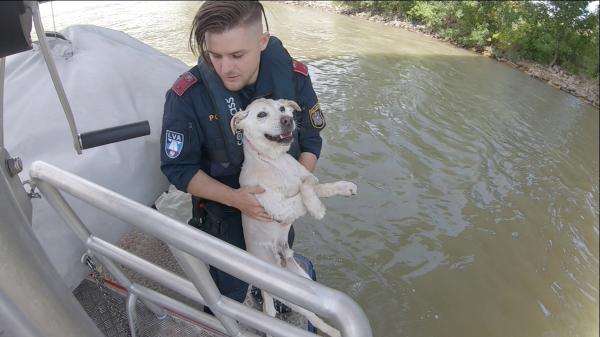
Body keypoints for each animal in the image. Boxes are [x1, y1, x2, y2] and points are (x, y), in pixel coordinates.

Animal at [230, 97, 356, 336]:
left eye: (282, 109)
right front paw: (316, 209)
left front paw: (344, 187)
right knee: (299, 315)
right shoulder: (279, 208)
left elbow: (313, 184)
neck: (275, 162)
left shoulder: (307, 175)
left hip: (305, 285)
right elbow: (305, 191)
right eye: (261, 114)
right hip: (287, 294)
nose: (287, 120)